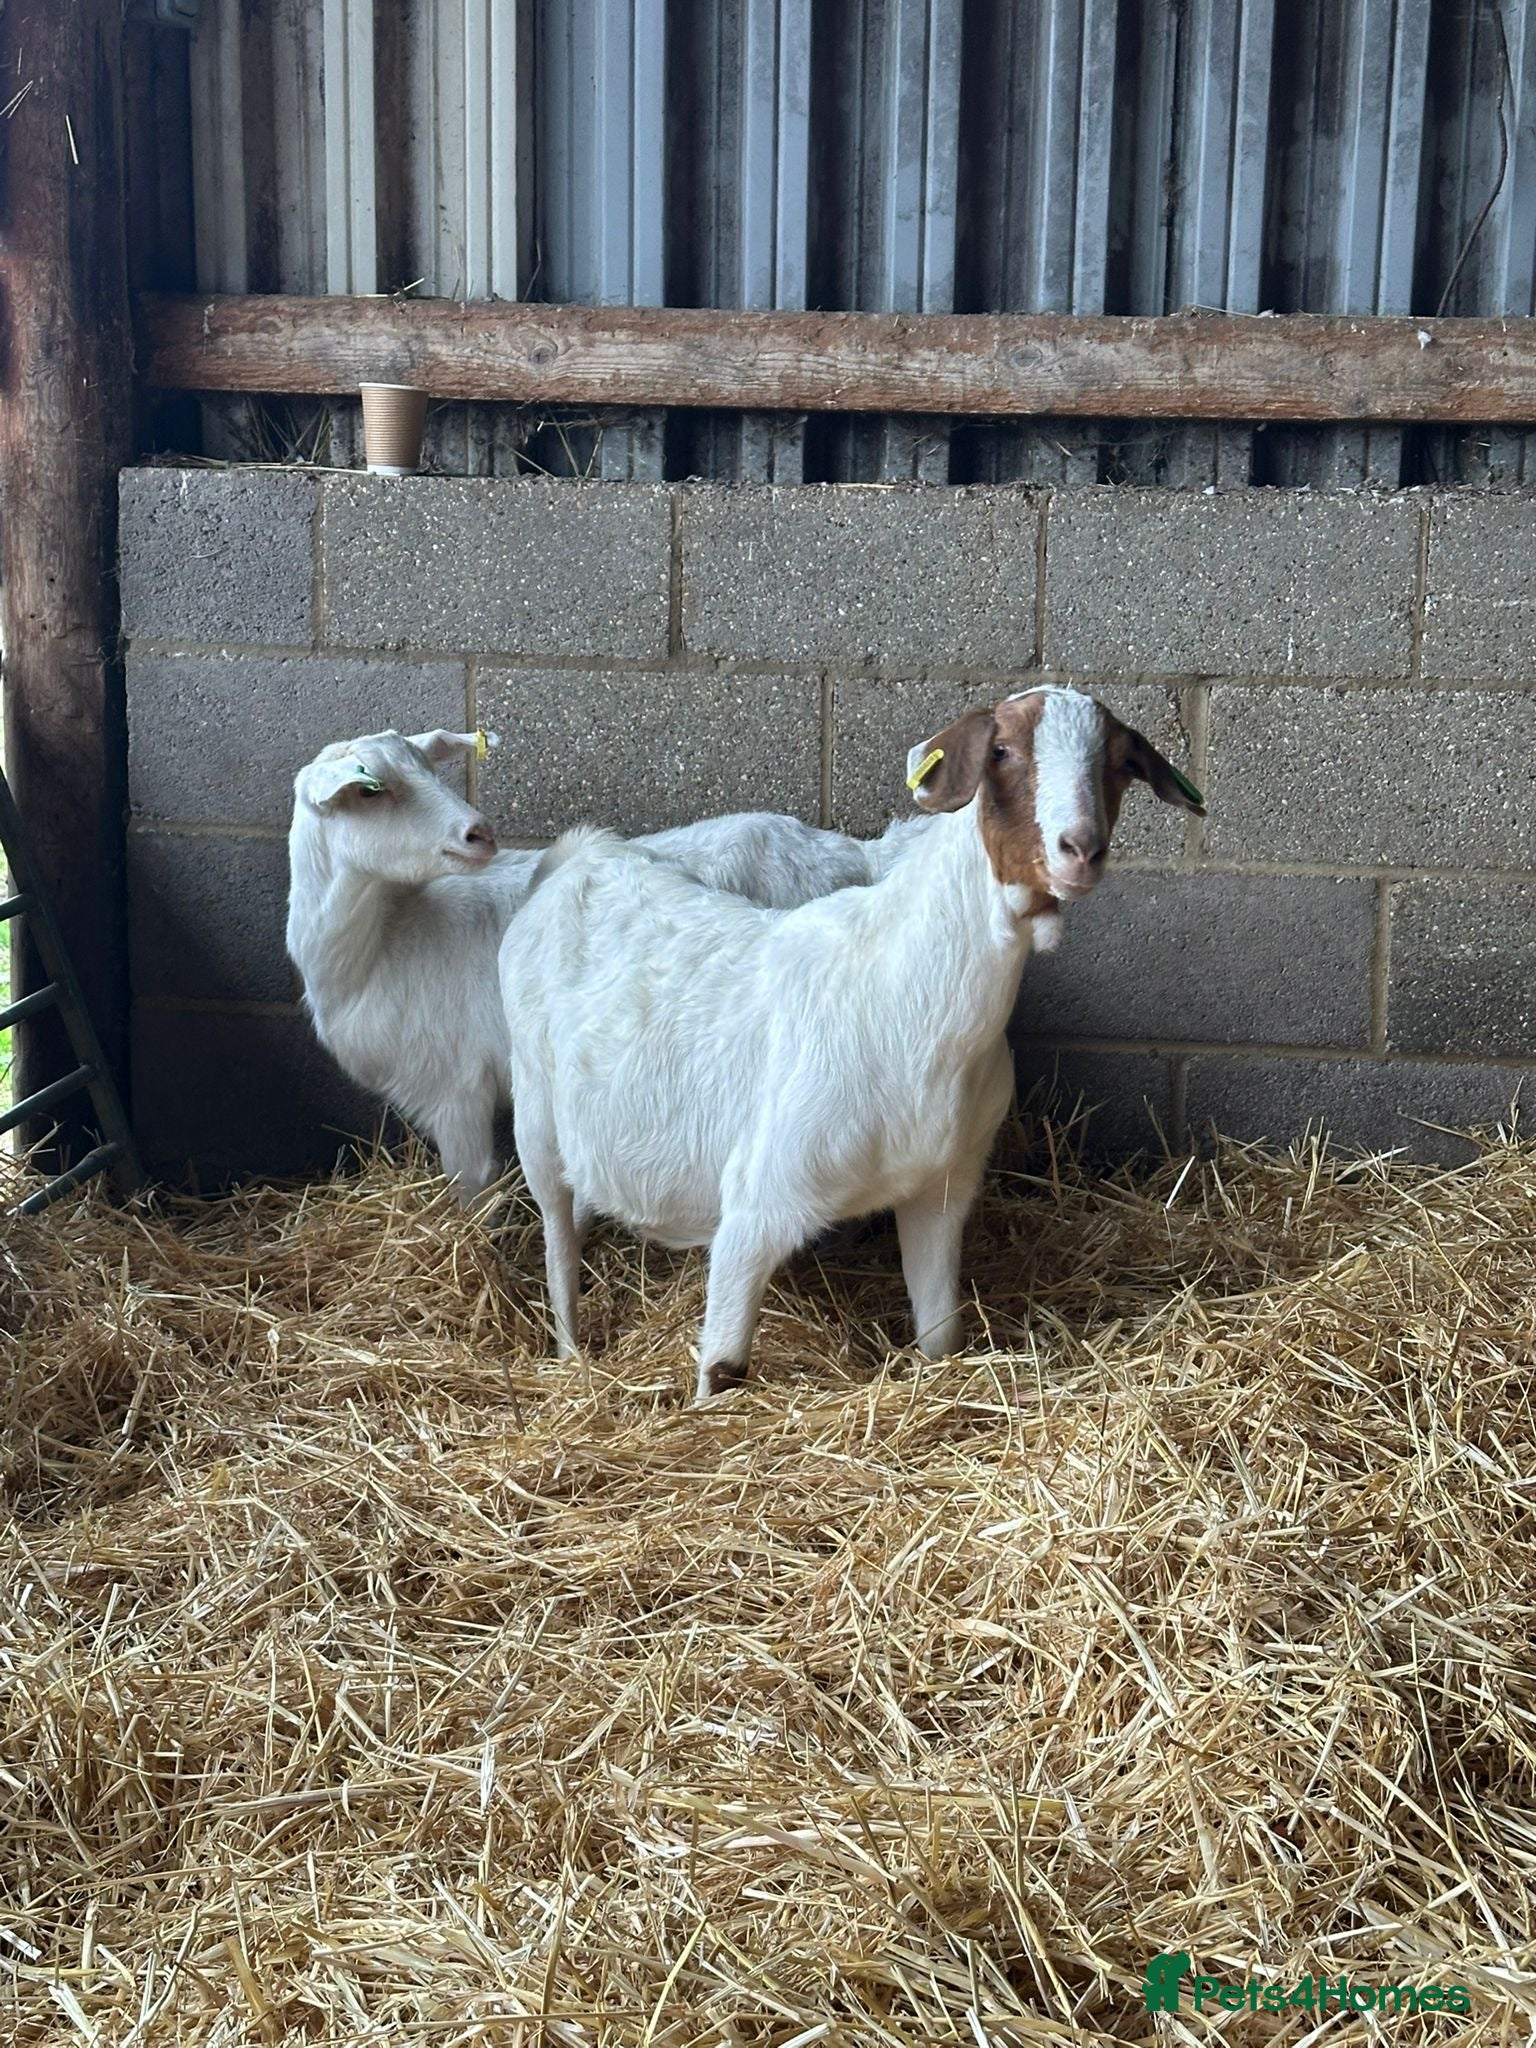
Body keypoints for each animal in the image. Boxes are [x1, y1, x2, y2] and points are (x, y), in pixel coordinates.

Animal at [286, 727, 901, 1201]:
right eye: (371, 790)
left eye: (429, 770)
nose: (478, 832)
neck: (383, 946)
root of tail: (855, 854)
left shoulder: (458, 1090)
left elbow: (472, 1189)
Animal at [502, 686, 1203, 1398]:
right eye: (1001, 751)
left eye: (1119, 763)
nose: (1081, 849)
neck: (904, 1002)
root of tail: (584, 856)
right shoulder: (757, 1202)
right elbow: (723, 1369)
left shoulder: (941, 1190)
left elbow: (941, 1337)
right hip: (533, 1114)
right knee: (556, 1236)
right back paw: (569, 1352)